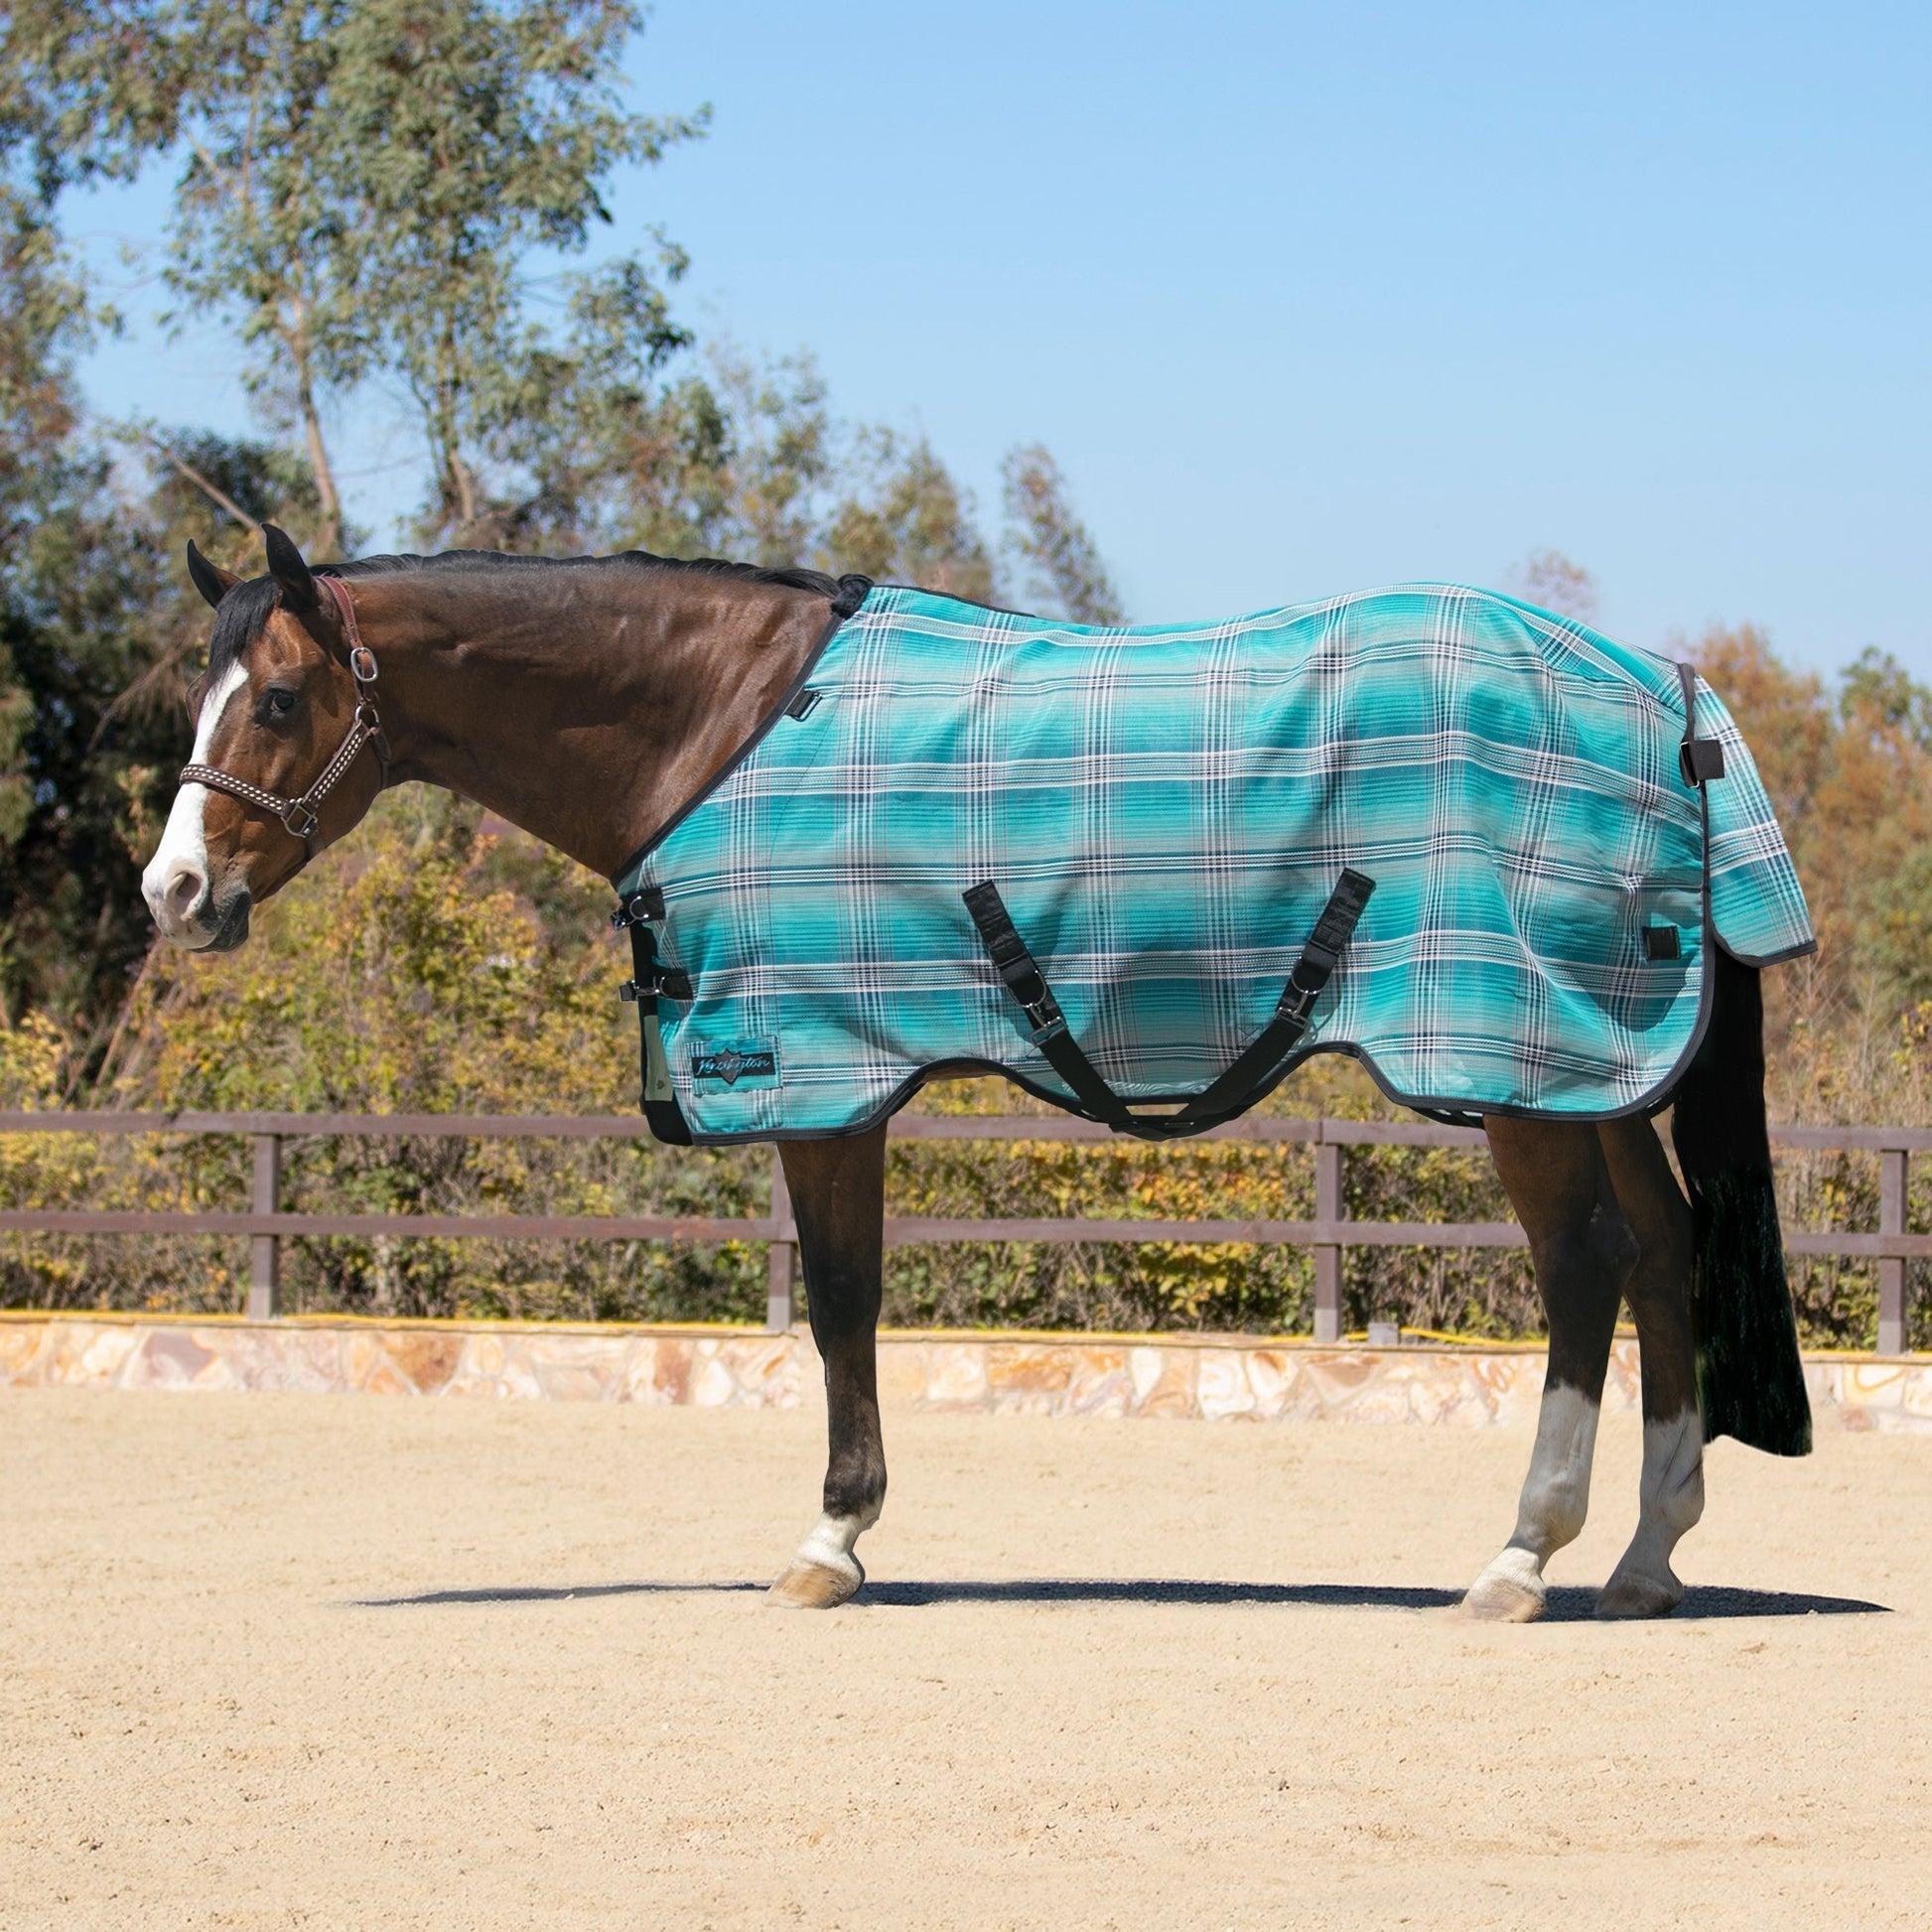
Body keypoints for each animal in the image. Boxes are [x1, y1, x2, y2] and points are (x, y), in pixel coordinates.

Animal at [142, 525, 1814, 1622]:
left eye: (276, 699)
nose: (173, 892)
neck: (717, 727)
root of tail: (1668, 694)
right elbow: (851, 1298)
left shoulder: (817, 1077)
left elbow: (837, 1297)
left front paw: (830, 1543)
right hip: (1588, 1065)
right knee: (1660, 1253)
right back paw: (1646, 1559)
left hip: (1511, 1063)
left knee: (1584, 1268)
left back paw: (1523, 1556)